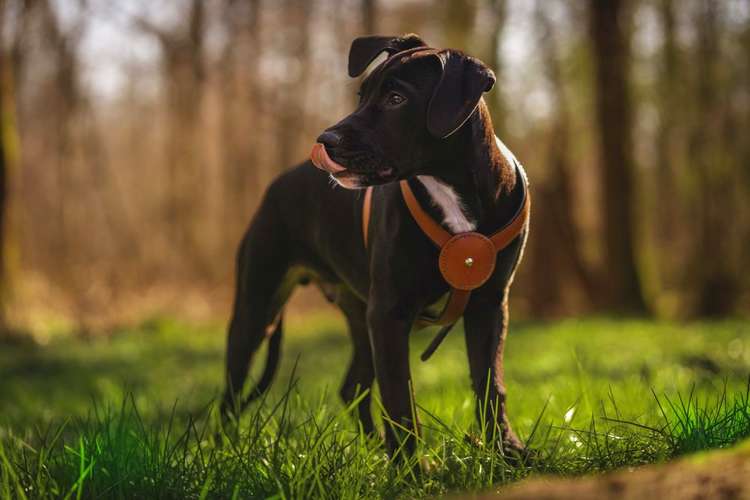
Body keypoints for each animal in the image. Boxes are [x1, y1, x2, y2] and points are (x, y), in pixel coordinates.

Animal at [220, 33, 532, 458]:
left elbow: (490, 381)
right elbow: (399, 397)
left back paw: (373, 449)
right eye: (361, 95)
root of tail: (276, 184)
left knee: (352, 385)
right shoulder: (388, 313)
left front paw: (506, 451)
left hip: (357, 312)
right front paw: (412, 468)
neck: (449, 188)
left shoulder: (489, 303)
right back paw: (221, 450)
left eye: (396, 99)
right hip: (257, 304)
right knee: (232, 392)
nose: (324, 140)